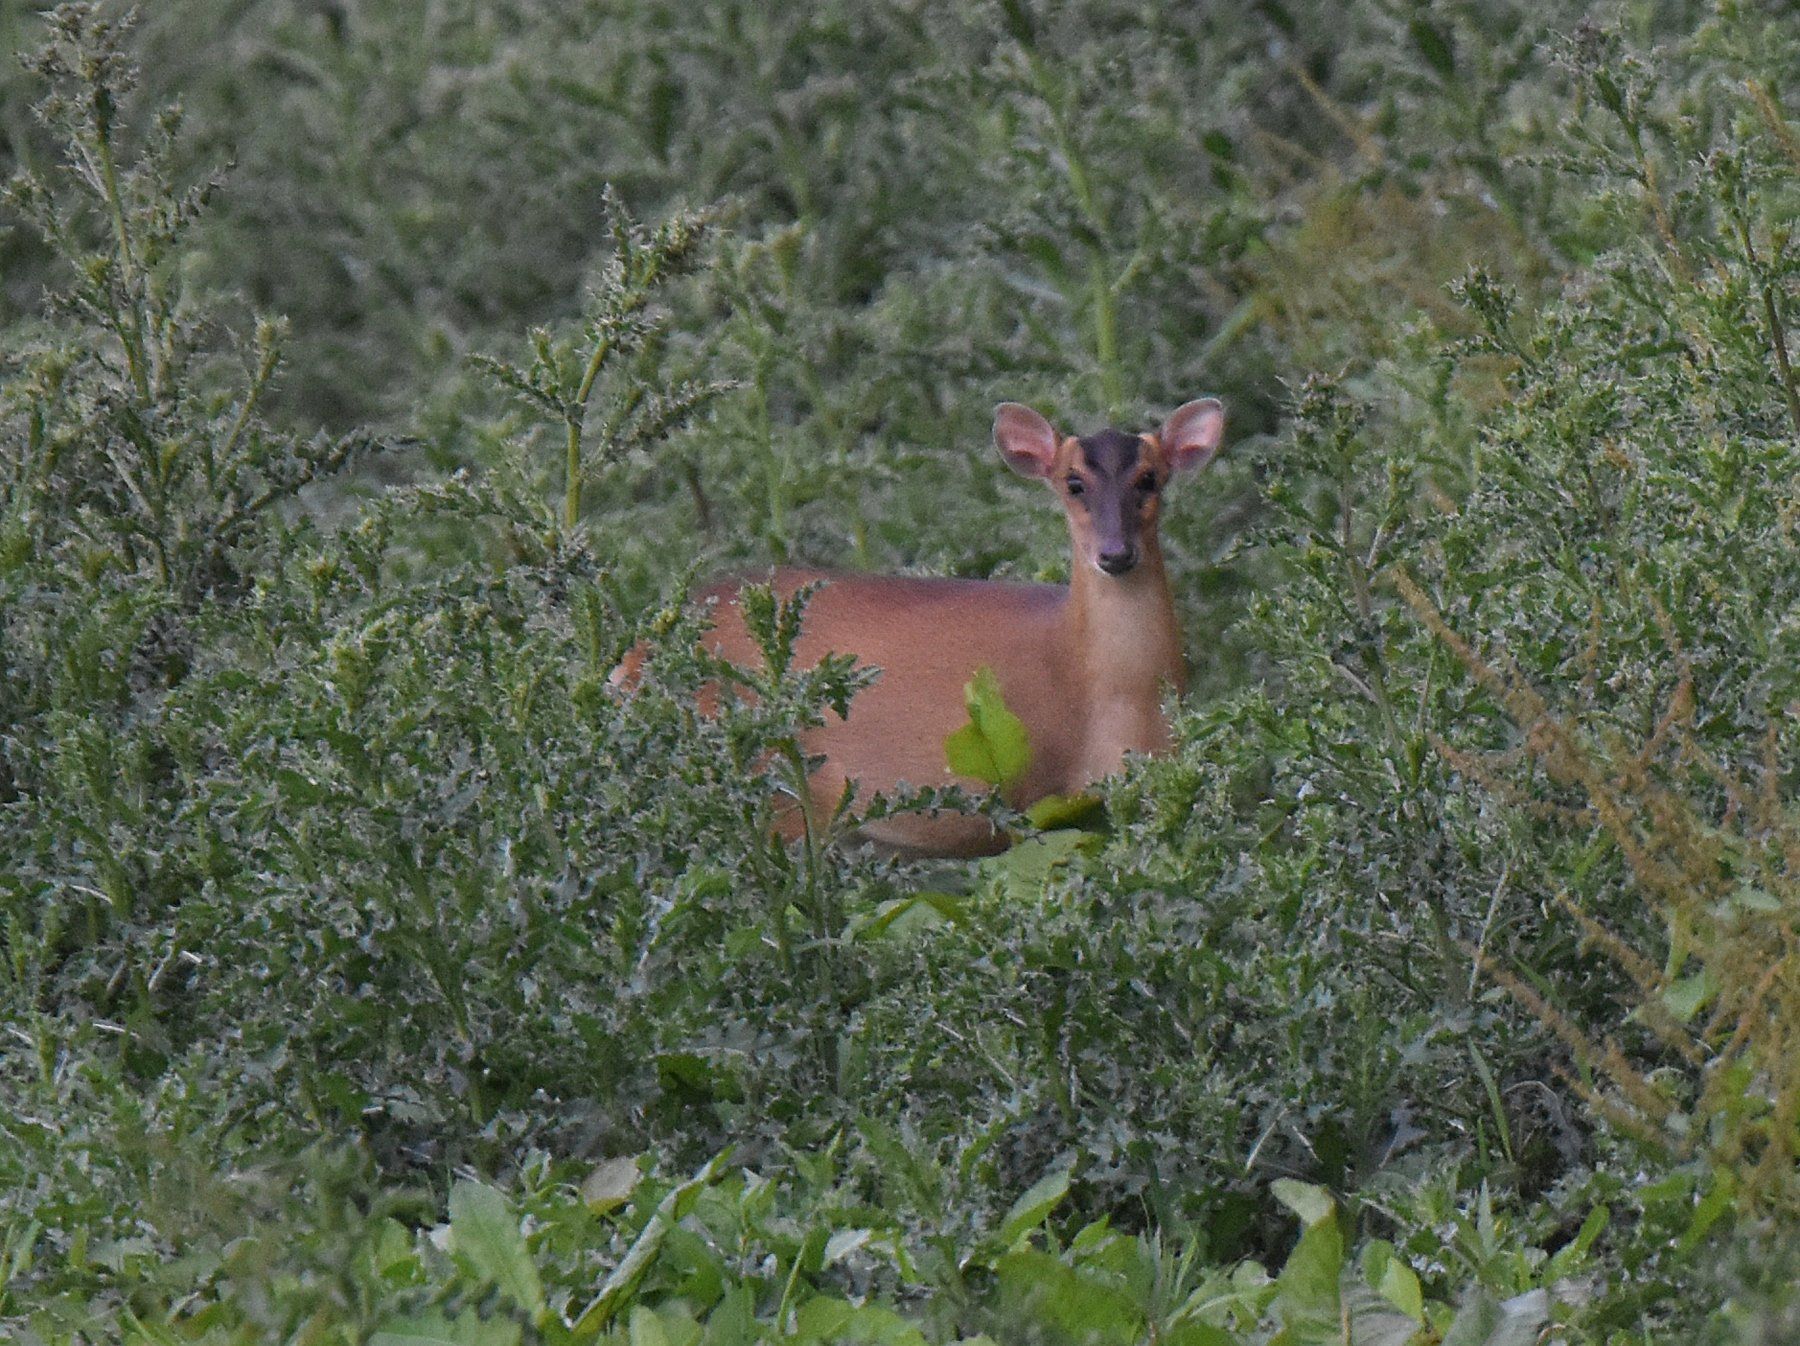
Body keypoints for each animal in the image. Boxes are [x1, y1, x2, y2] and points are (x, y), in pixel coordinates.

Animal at [613, 398, 1226, 857]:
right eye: (1072, 483)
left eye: (1150, 479)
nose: (1115, 554)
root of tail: (633, 656)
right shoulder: (1041, 799)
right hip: (769, 787)